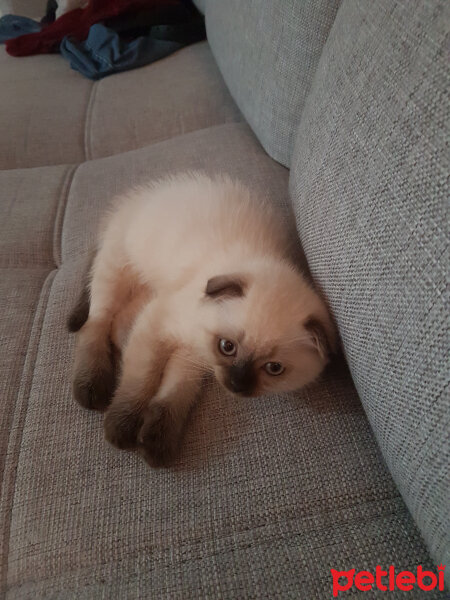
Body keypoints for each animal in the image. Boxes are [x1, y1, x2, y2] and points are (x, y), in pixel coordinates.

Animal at [68, 173, 336, 468]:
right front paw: (122, 428)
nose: (237, 384)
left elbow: (177, 392)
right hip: (117, 271)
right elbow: (140, 381)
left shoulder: (195, 352)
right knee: (95, 322)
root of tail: (138, 197)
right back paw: (91, 388)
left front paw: (156, 442)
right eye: (228, 347)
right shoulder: (159, 325)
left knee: (118, 325)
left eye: (274, 368)